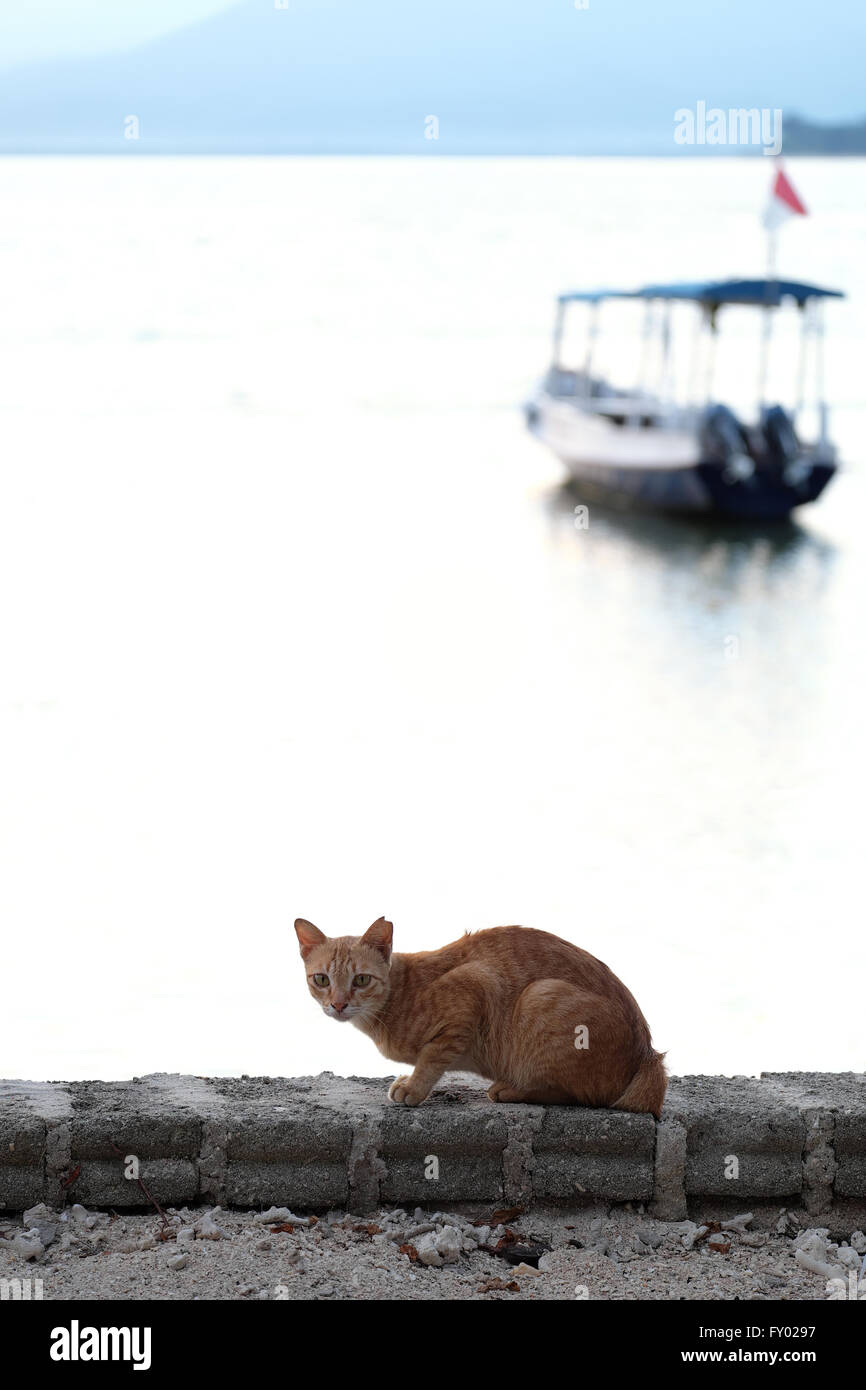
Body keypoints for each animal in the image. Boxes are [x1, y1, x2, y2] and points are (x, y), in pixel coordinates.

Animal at [294, 911, 667, 1117]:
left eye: (361, 980)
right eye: (322, 980)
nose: (338, 1004)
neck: (401, 992)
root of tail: (648, 1056)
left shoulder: (474, 986)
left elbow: (432, 1057)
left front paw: (413, 1087)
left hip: (539, 996)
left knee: (578, 1096)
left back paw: (509, 1090)